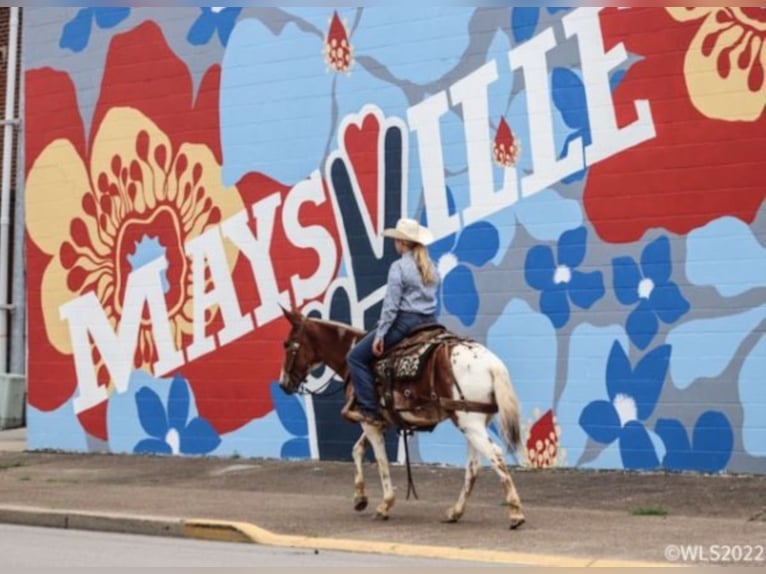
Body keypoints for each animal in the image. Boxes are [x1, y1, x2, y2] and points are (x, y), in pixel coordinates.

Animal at [278, 306, 528, 532]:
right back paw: (455, 512)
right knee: (474, 467)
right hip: (474, 424)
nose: (283, 384)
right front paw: (360, 498)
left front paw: (384, 505)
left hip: (470, 424)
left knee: (495, 456)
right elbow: (357, 450)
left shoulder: (369, 422)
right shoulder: (379, 420)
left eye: (288, 344)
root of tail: (491, 363)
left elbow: (380, 461)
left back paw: (516, 513)